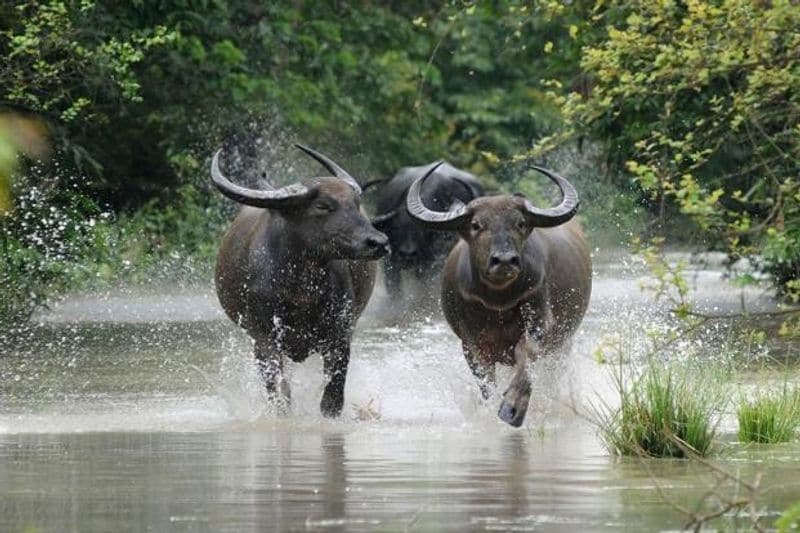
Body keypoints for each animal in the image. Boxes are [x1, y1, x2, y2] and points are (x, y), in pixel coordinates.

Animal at [211, 144, 390, 416]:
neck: (300, 290)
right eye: (323, 206)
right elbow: (280, 391)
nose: (378, 242)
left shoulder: (340, 333)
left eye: (356, 204)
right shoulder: (263, 336)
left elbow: (333, 394)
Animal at [410, 162, 592, 424]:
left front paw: (512, 407)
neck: (498, 302)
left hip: (563, 343)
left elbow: (526, 356)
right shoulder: (470, 344)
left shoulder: (540, 323)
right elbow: (485, 380)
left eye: (520, 223)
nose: (504, 260)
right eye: (476, 224)